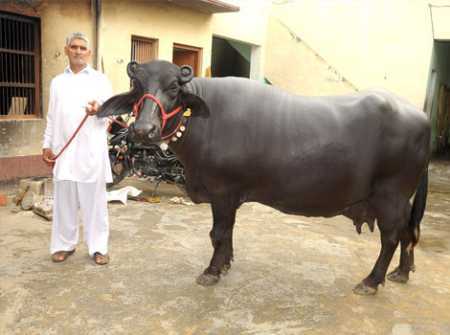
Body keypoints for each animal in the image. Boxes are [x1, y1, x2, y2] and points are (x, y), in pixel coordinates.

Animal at [98, 60, 428, 296]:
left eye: (174, 89)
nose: (144, 130)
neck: (203, 123)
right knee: (408, 233)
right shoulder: (229, 197)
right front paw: (226, 264)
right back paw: (401, 272)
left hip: (390, 196)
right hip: (400, 200)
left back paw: (371, 281)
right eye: (137, 86)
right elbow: (227, 233)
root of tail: (422, 118)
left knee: (391, 237)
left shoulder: (222, 192)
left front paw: (211, 271)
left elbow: (218, 233)